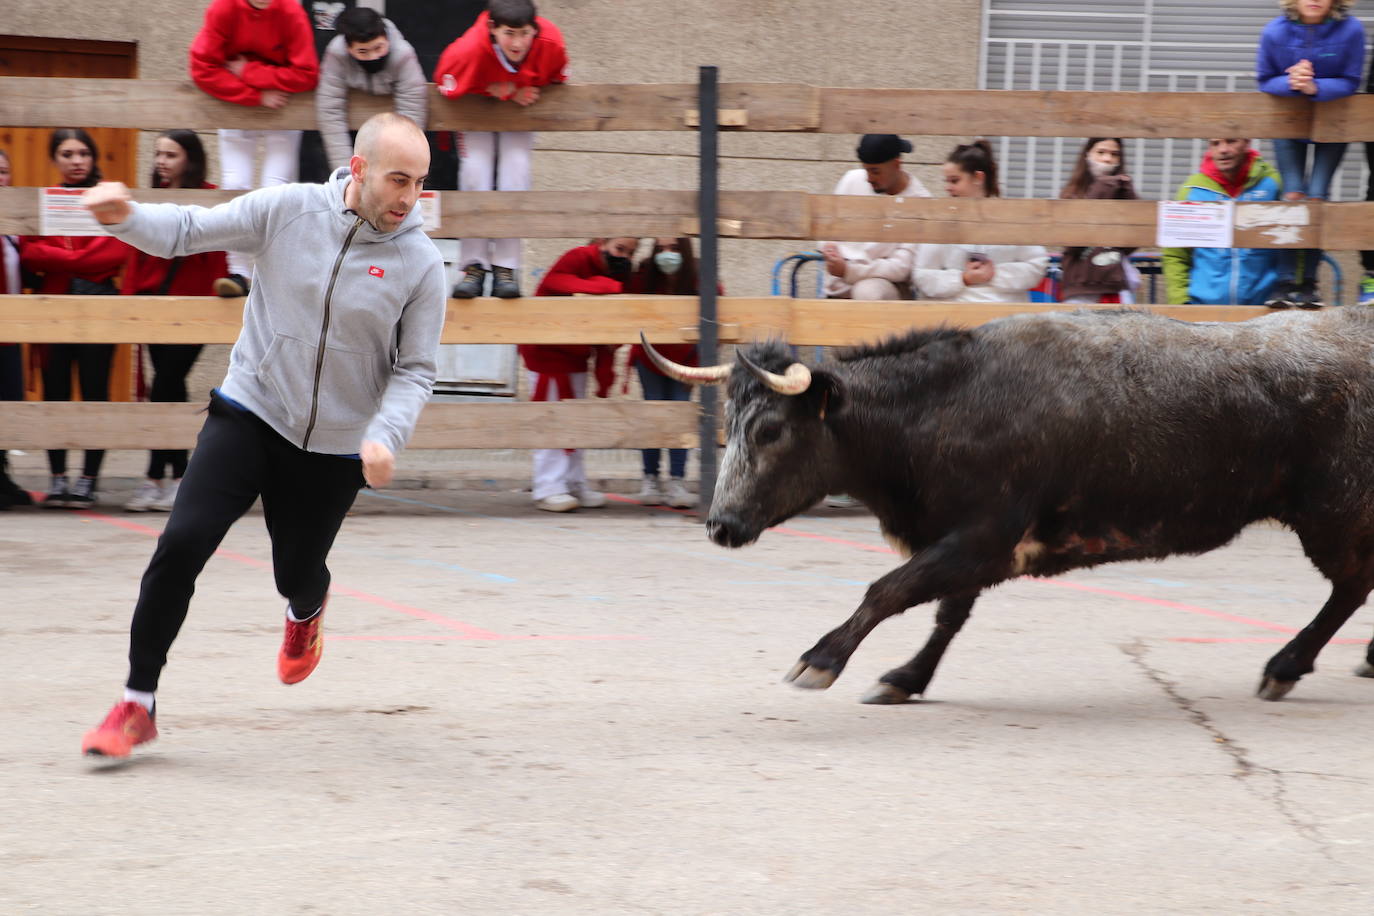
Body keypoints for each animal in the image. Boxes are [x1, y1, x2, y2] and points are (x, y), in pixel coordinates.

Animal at [640, 307, 1374, 703]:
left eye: (770, 430)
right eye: (728, 424)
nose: (721, 525)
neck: (942, 408)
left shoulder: (981, 538)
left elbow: (888, 590)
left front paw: (820, 660)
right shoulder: (967, 545)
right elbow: (946, 612)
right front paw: (905, 677)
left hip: (1333, 514)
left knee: (1350, 585)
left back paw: (1285, 666)